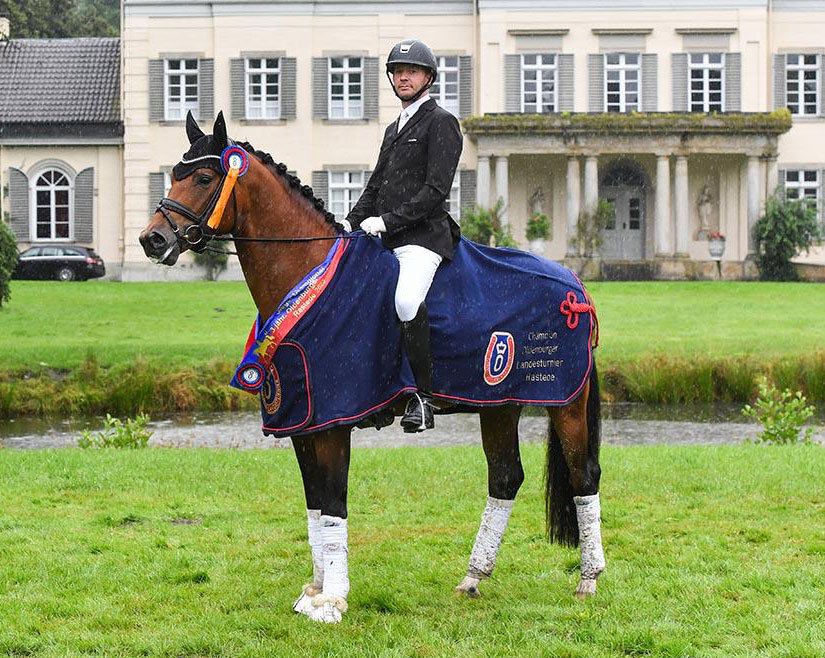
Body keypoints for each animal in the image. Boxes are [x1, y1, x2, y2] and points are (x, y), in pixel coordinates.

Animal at [140, 111, 604, 620]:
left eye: (204, 178)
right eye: (173, 175)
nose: (151, 239)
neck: (309, 274)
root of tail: (575, 285)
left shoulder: (333, 421)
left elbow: (334, 502)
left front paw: (333, 599)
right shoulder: (302, 420)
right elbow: (314, 505)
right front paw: (315, 589)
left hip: (566, 402)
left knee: (583, 474)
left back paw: (587, 580)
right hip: (499, 404)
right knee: (504, 478)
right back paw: (472, 579)